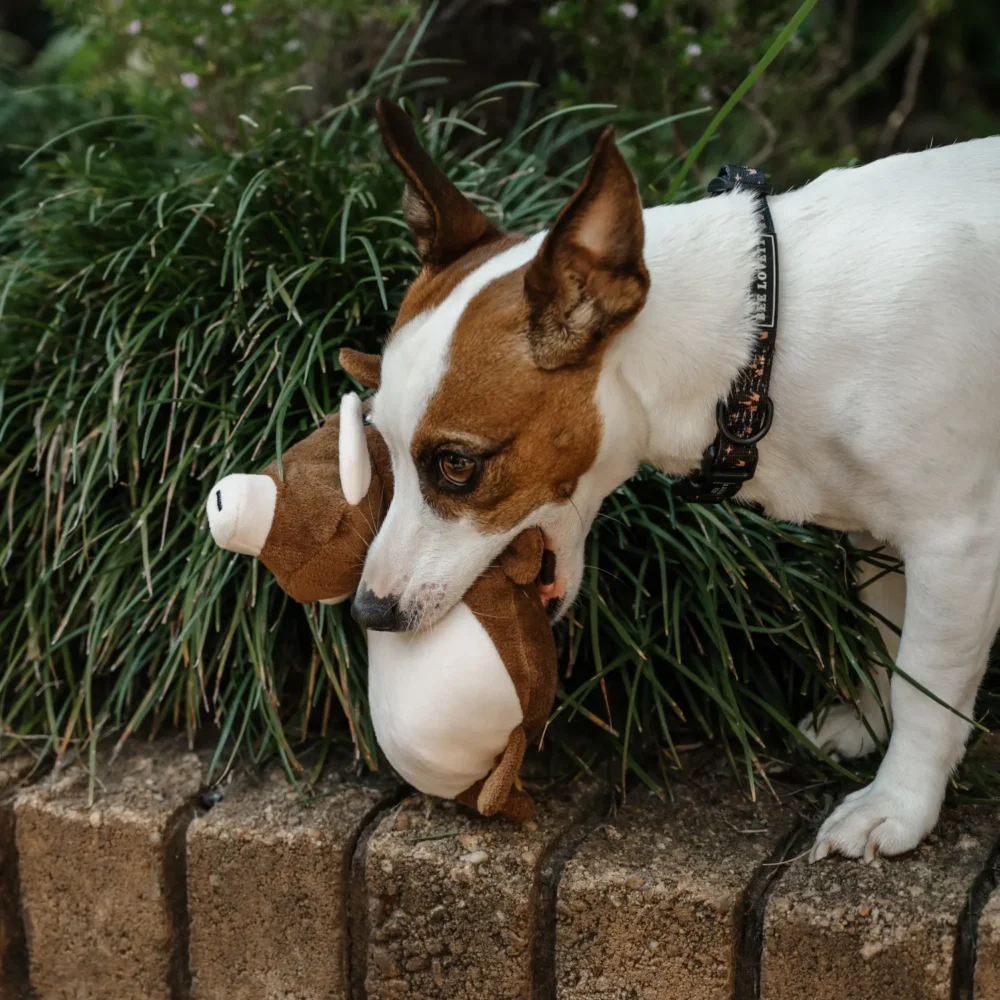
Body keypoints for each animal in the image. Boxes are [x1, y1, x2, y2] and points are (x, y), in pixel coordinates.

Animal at [346, 103, 1000, 868]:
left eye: (456, 464)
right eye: (384, 448)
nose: (368, 612)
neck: (761, 341)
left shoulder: (956, 547)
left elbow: (926, 684)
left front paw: (898, 804)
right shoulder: (876, 539)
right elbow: (883, 642)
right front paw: (869, 726)